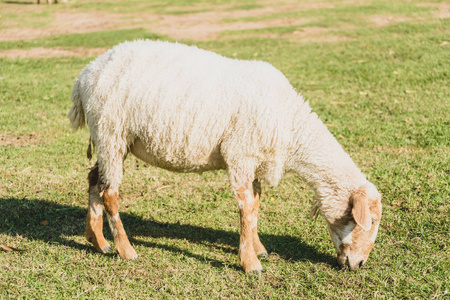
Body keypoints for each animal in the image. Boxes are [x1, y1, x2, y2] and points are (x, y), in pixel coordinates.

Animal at [68, 40, 382, 274]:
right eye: (370, 221)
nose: (359, 264)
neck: (292, 127)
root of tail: (84, 75)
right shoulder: (240, 153)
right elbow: (246, 208)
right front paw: (251, 264)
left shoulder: (254, 159)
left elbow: (255, 205)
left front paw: (258, 249)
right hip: (111, 131)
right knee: (110, 193)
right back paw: (126, 250)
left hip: (109, 140)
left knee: (94, 180)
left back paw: (97, 241)